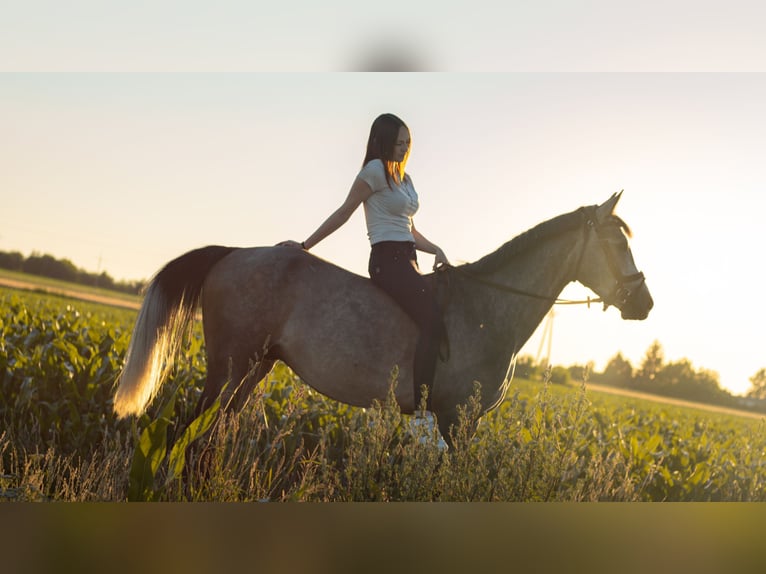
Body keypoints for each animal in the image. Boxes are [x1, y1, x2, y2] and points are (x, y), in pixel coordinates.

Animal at [113, 191, 653, 444]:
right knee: (185, 432)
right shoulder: (456, 420)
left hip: (254, 370)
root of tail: (233, 253)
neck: (487, 310)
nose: (643, 303)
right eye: (615, 241)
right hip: (227, 368)